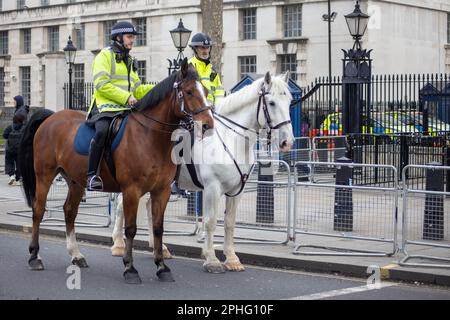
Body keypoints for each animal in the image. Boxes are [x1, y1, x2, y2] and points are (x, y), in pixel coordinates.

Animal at [18, 58, 214, 284]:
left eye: (206, 91)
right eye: (189, 92)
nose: (208, 125)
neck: (150, 137)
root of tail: (51, 116)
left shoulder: (162, 191)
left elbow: (158, 228)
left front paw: (162, 267)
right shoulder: (131, 191)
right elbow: (130, 229)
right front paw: (130, 268)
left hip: (75, 180)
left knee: (69, 211)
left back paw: (76, 254)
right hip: (44, 175)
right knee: (38, 210)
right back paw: (35, 256)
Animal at [110, 72, 294, 272]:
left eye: (289, 101)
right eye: (272, 103)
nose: (288, 142)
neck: (230, 140)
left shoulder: (237, 190)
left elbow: (229, 222)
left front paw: (231, 258)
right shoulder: (212, 188)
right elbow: (210, 222)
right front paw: (211, 259)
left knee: (149, 207)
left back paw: (159, 247)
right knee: (120, 206)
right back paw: (118, 244)